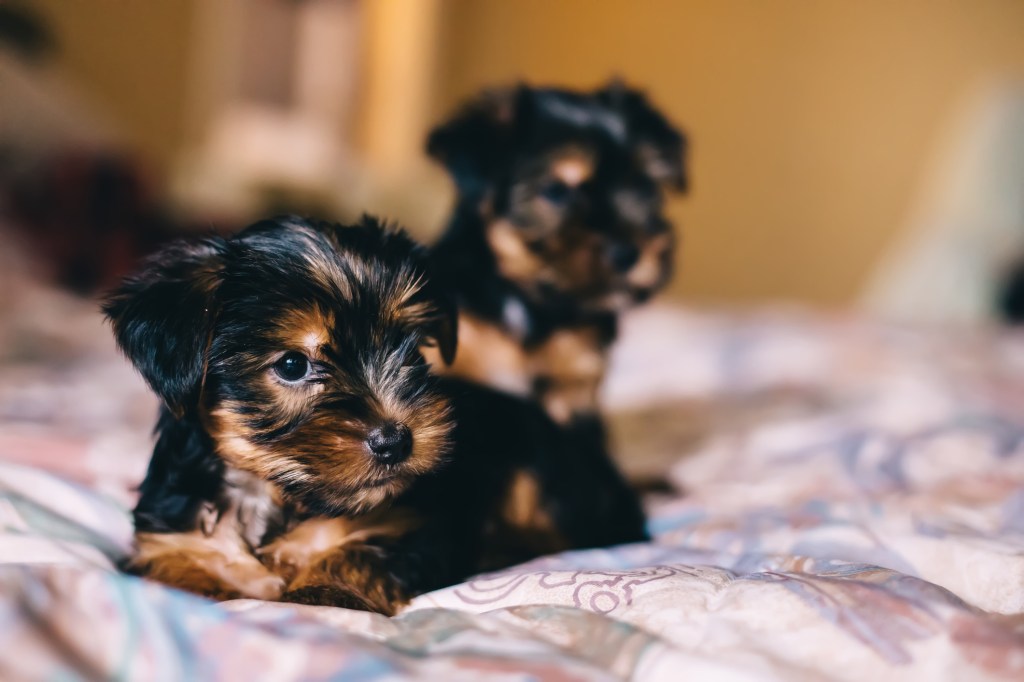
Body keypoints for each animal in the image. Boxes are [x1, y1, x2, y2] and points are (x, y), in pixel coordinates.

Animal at [105, 216, 647, 610]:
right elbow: (176, 570)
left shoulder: (408, 522)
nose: (396, 440)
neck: (279, 496)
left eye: (410, 348)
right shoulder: (170, 537)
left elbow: (355, 553)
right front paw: (225, 586)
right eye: (292, 365)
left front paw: (319, 592)